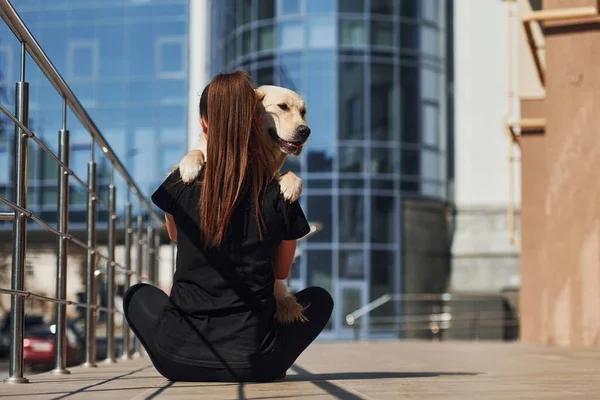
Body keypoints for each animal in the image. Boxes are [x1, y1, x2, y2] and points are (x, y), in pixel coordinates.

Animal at [178, 85, 312, 324]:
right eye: (282, 107)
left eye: (303, 112)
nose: (305, 131)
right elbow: (197, 151)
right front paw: (190, 166)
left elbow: (291, 174)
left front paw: (291, 185)